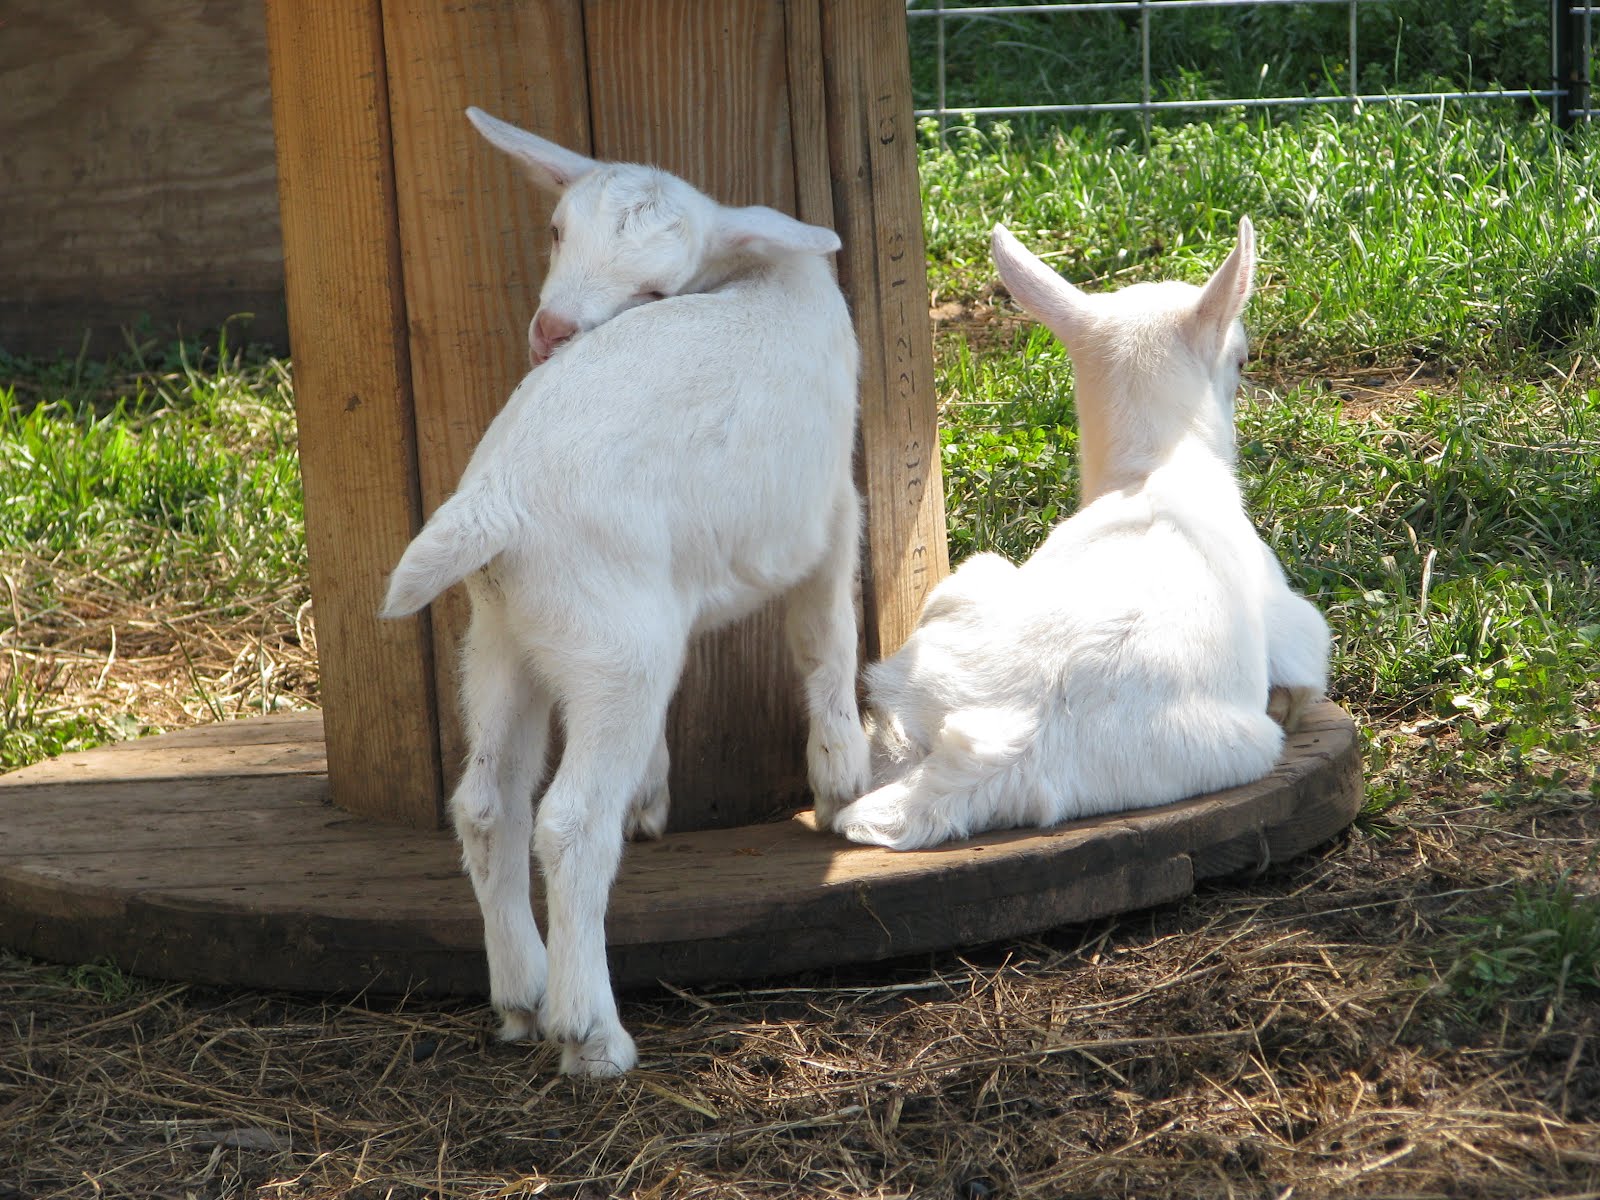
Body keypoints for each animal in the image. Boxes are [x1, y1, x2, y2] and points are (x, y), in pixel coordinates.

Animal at [382, 110, 870, 1075]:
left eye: (655, 288)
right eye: (556, 231)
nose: (551, 330)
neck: (763, 273)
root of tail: (500, 499)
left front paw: (652, 792)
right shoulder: (830, 505)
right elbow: (826, 636)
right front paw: (843, 782)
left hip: (507, 634)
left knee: (487, 805)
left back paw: (522, 996)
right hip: (613, 643)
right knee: (569, 823)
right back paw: (589, 1032)